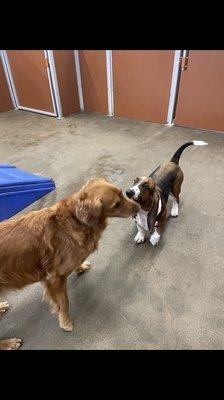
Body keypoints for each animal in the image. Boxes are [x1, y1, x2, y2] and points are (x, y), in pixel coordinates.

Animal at [0, 178, 139, 350]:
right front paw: (65, 322)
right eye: (116, 204)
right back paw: (8, 343)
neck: (74, 221)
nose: (138, 207)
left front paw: (80, 266)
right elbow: (64, 302)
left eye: (122, 193)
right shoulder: (54, 278)